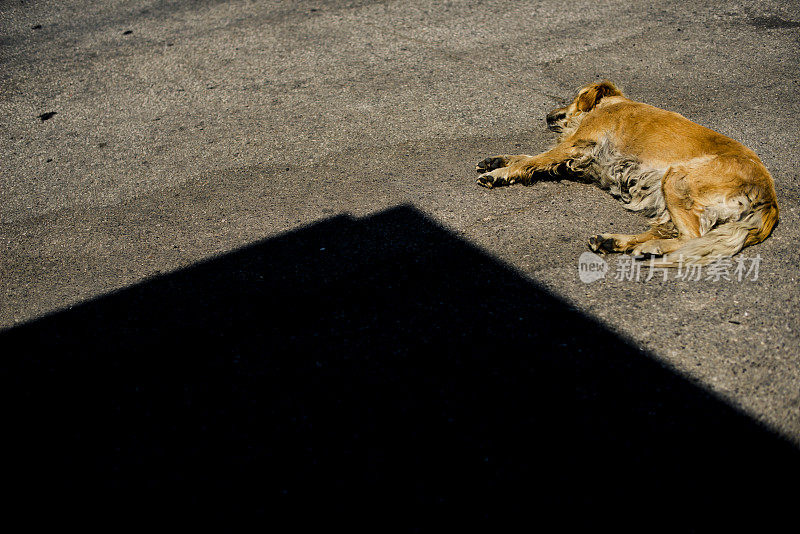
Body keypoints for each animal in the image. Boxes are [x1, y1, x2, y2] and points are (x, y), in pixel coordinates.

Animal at [478, 81, 780, 266]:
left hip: (676, 179)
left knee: (692, 238)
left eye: (574, 98)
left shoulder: (577, 144)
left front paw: (499, 173)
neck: (610, 103)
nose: (548, 115)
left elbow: (534, 159)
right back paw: (614, 241)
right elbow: (528, 158)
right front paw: (497, 160)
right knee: (669, 232)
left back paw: (649, 248)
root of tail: (768, 198)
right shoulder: (578, 159)